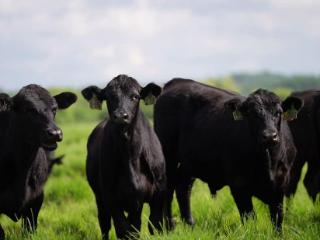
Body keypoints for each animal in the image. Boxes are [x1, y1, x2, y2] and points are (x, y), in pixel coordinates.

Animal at [81, 74, 166, 239]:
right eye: (109, 97)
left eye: (135, 96)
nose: (121, 116)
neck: (130, 155)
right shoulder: (110, 197)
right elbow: (123, 230)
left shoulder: (157, 194)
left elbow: (153, 225)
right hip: (99, 198)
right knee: (104, 224)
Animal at [154, 78, 302, 229]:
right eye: (252, 114)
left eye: (278, 112)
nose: (269, 136)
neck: (267, 163)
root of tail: (177, 81)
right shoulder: (238, 185)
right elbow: (249, 217)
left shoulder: (280, 187)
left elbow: (278, 219)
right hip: (168, 156)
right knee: (168, 189)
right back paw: (166, 227)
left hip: (189, 163)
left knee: (183, 187)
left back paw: (190, 224)